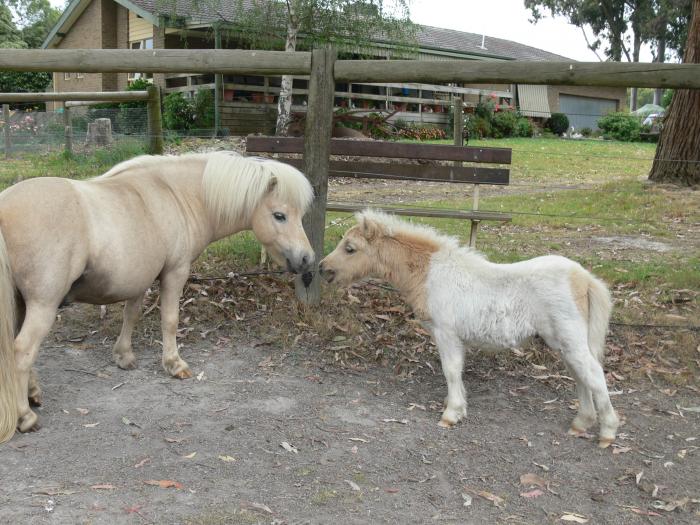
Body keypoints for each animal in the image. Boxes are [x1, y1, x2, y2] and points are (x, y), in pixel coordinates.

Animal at [0, 151, 315, 442]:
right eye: (279, 215)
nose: (306, 259)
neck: (175, 195)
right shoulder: (175, 273)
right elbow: (170, 320)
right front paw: (174, 364)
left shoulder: (139, 280)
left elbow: (131, 315)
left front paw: (124, 356)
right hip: (44, 305)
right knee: (22, 351)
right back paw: (25, 416)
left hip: (22, 302)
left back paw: (32, 393)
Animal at [319, 211, 619, 448]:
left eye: (350, 248)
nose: (323, 268)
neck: (429, 273)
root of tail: (584, 277)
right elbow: (458, 371)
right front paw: (456, 406)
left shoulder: (446, 332)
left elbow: (451, 369)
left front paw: (451, 414)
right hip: (564, 343)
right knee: (580, 376)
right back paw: (581, 423)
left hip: (571, 339)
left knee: (594, 375)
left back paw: (607, 432)